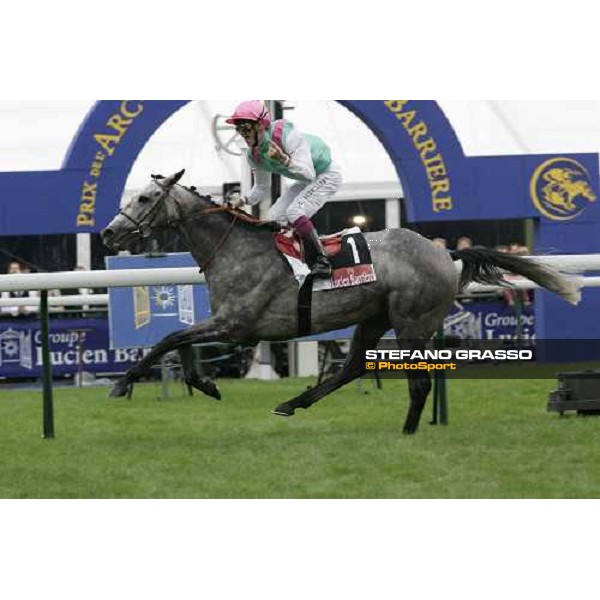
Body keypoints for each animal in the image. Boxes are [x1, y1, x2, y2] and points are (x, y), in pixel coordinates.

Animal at [101, 171, 580, 434]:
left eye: (145, 198)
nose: (108, 232)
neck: (235, 248)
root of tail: (446, 252)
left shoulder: (237, 325)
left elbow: (169, 337)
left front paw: (123, 383)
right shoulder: (230, 326)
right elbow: (179, 341)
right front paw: (205, 383)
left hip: (412, 325)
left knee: (418, 384)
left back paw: (407, 432)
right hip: (373, 320)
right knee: (351, 369)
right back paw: (293, 403)